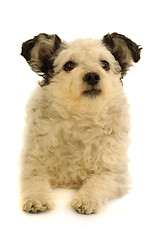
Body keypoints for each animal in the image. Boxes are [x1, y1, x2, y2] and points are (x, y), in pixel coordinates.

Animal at [20, 31, 141, 214]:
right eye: (69, 65)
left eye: (105, 64)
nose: (92, 76)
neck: (81, 117)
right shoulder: (32, 163)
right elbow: (35, 182)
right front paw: (37, 199)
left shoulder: (115, 172)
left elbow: (98, 182)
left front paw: (87, 200)